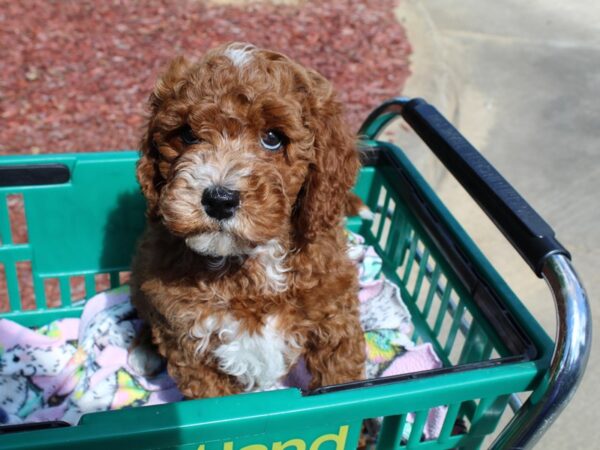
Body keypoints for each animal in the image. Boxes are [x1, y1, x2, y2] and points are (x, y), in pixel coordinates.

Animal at [130, 43, 366, 398]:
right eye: (187, 135)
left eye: (273, 138)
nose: (219, 199)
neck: (248, 264)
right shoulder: (188, 342)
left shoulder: (335, 317)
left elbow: (344, 382)